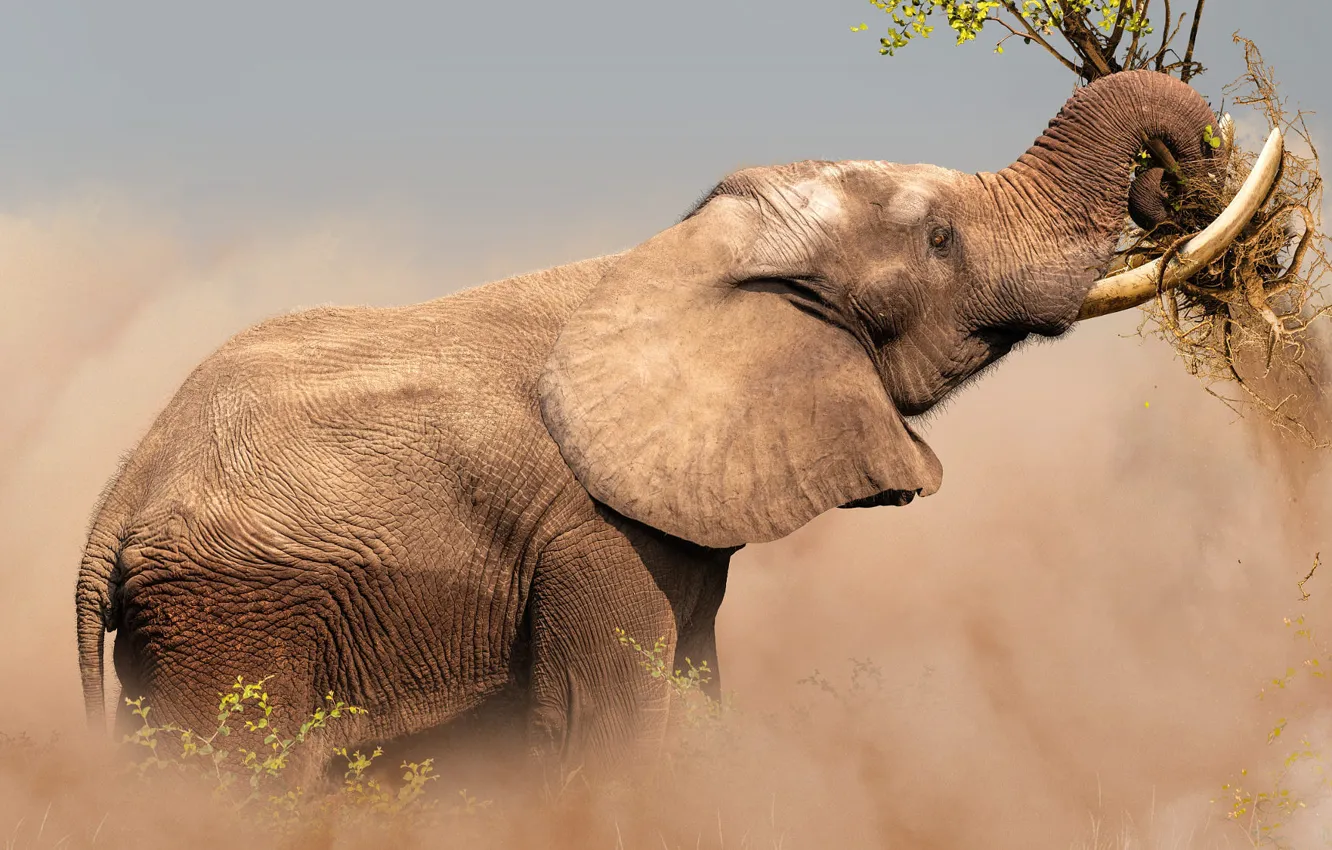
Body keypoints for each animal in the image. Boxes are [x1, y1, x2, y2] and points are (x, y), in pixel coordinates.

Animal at [74, 70, 1276, 780]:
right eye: (938, 242)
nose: (1176, 184)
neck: (686, 253)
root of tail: (117, 497)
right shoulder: (592, 534)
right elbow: (607, 729)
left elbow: (694, 713)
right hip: (235, 609)